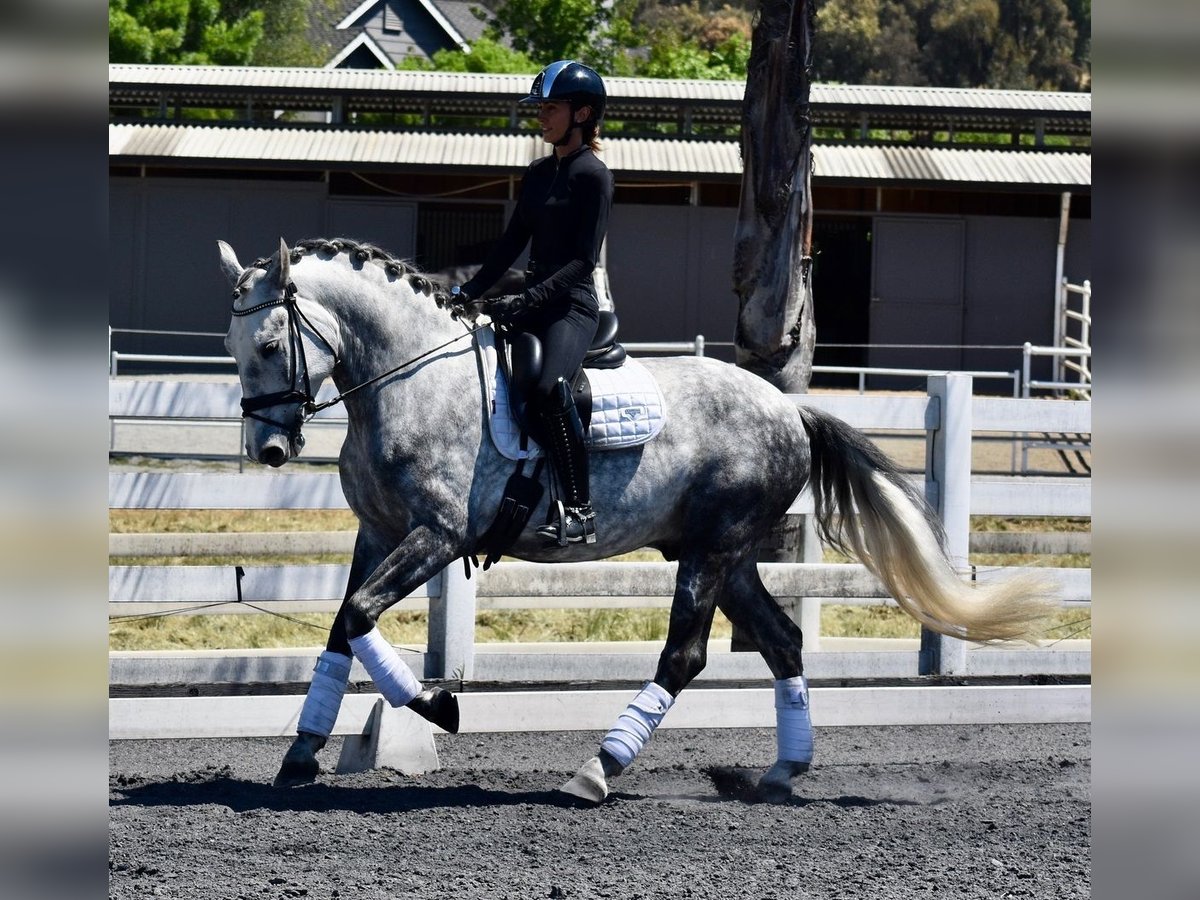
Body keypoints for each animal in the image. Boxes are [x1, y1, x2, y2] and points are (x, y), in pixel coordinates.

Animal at [219, 236, 1055, 804]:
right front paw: (300, 754)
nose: (268, 448)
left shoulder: (437, 536)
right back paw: (781, 771)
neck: (408, 379)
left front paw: (437, 704)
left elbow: (361, 615)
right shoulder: (380, 533)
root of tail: (789, 407)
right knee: (782, 641)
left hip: (711, 551)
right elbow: (342, 628)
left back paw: (598, 768)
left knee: (683, 657)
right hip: (724, 553)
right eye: (232, 347)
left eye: (270, 342)